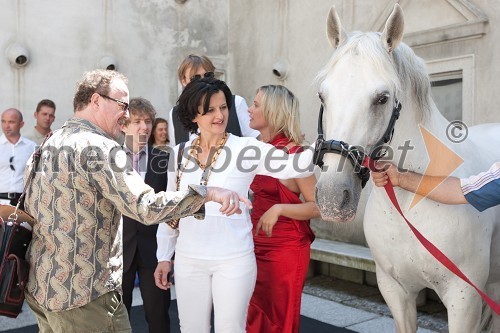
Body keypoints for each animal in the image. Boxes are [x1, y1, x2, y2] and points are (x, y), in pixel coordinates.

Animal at [314, 4, 498, 332]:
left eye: (382, 98)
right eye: (323, 95)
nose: (332, 198)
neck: (410, 207)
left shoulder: (464, 299)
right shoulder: (395, 290)